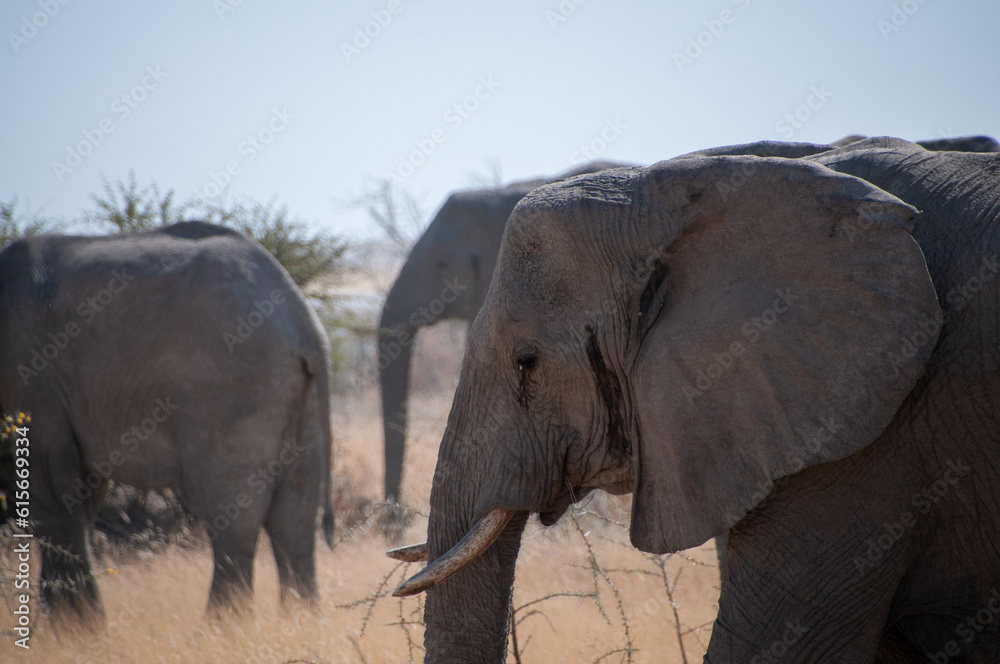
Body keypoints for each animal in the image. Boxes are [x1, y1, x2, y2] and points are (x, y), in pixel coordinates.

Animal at [0, 221, 334, 624]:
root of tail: (305, 325)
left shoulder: (32, 374)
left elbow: (50, 489)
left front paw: (76, 631)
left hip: (231, 389)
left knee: (232, 518)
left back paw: (219, 629)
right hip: (296, 397)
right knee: (294, 519)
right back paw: (298, 622)